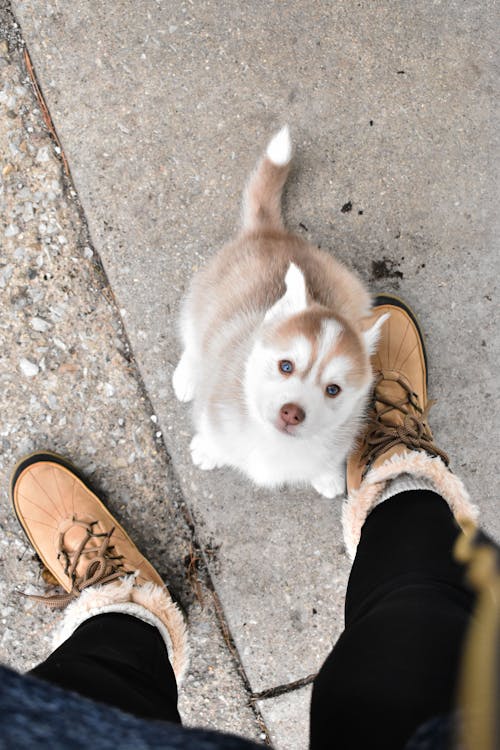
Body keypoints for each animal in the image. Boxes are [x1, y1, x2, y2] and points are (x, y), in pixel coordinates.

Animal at [172, 129, 386, 500]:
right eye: (286, 366)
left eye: (333, 389)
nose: (292, 413)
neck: (277, 443)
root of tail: (272, 232)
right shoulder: (217, 411)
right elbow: (215, 435)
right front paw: (209, 450)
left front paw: (326, 476)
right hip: (204, 299)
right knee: (195, 338)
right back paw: (187, 376)